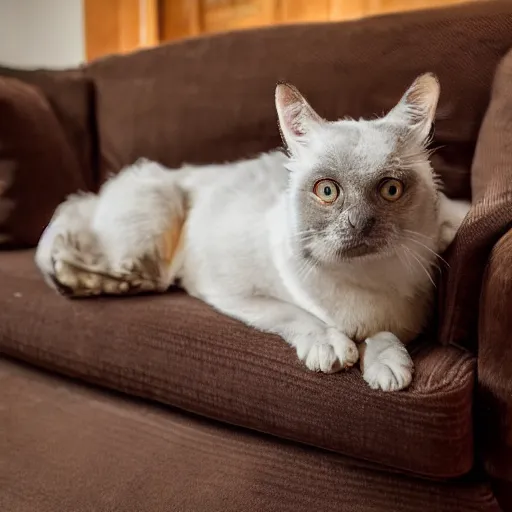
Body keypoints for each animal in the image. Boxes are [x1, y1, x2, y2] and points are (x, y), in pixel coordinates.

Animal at [35, 73, 468, 392]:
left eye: (391, 189)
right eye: (327, 191)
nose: (359, 224)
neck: (363, 282)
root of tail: (95, 193)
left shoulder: (426, 272)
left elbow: (386, 335)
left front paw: (386, 366)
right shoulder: (233, 292)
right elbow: (299, 315)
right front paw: (334, 348)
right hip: (152, 246)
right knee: (83, 264)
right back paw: (85, 284)